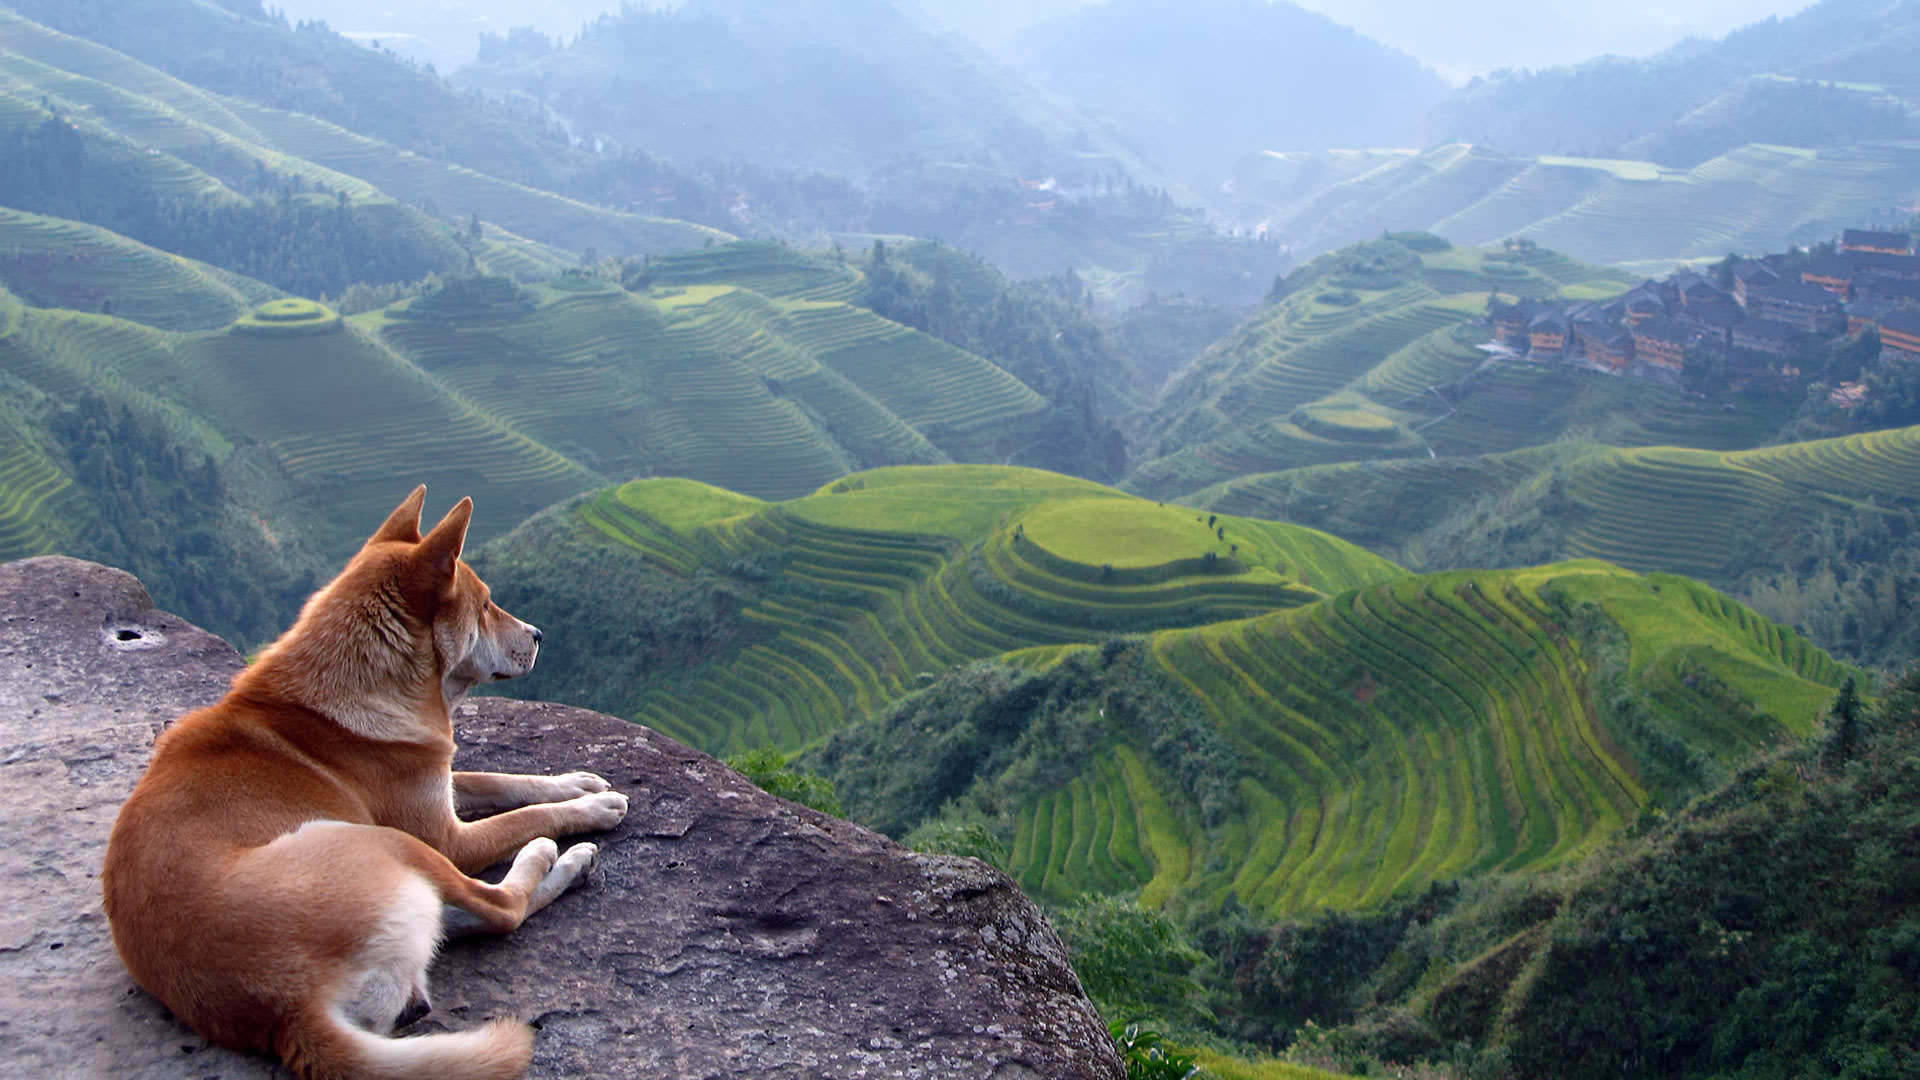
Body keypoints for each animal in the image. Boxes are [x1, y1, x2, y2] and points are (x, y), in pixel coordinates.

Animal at [101, 488, 625, 1076]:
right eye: (488, 605)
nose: (538, 635)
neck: (358, 681)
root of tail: (289, 1011)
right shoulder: (446, 837)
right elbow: (522, 814)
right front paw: (591, 807)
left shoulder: (434, 778)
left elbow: (499, 779)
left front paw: (574, 781)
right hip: (387, 843)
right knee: (500, 909)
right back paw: (556, 857)